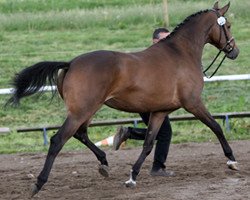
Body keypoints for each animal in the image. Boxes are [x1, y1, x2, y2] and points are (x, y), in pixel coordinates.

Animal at [6, 1, 239, 197]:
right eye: (227, 25)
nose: (234, 51)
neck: (181, 53)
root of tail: (71, 63)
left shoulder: (160, 111)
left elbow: (149, 143)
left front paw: (132, 178)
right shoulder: (193, 103)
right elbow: (216, 127)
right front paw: (232, 161)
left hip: (86, 111)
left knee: (81, 134)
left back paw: (104, 162)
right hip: (82, 111)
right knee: (58, 140)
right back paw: (38, 184)